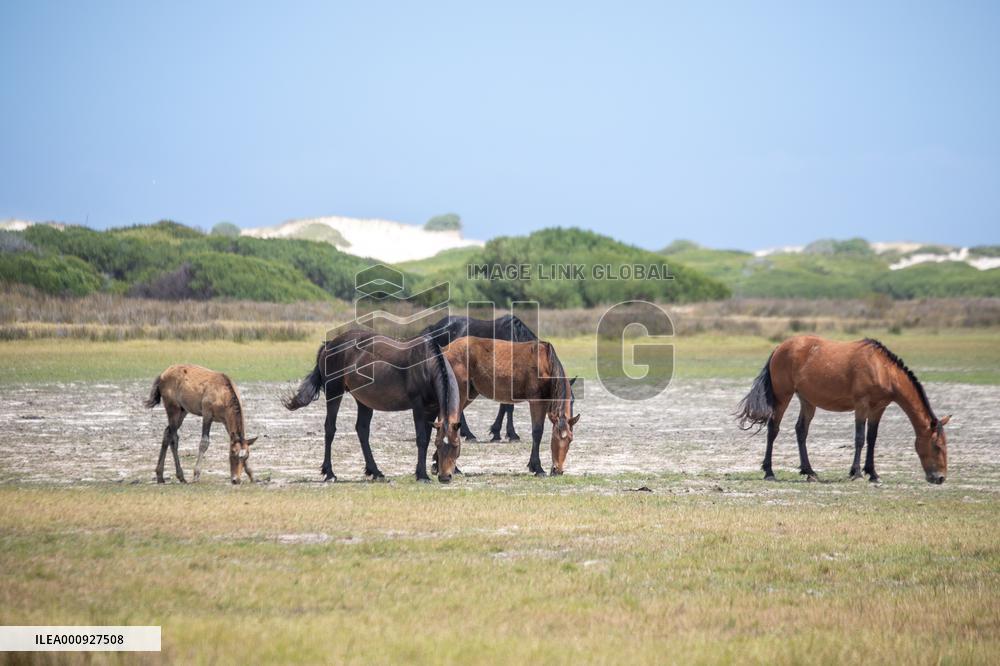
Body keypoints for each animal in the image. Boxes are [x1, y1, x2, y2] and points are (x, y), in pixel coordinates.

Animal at [282, 328, 462, 483]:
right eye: (439, 445)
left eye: (455, 445)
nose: (445, 477)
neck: (428, 364)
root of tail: (329, 344)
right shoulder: (418, 406)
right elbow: (422, 439)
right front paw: (422, 475)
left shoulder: (432, 409)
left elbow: (426, 438)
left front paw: (422, 472)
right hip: (334, 392)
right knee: (330, 428)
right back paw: (330, 473)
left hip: (363, 401)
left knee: (362, 430)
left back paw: (375, 471)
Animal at [433, 337, 579, 482]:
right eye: (555, 437)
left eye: (570, 439)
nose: (558, 470)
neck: (545, 362)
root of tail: (445, 350)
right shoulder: (536, 402)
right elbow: (537, 432)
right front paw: (538, 468)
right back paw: (453, 468)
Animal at [736, 336, 951, 484]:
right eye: (937, 446)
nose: (940, 478)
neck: (882, 368)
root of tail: (779, 348)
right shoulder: (862, 405)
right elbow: (860, 438)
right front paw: (856, 473)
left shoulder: (878, 408)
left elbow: (872, 439)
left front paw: (873, 473)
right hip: (783, 396)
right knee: (773, 429)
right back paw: (769, 472)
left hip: (807, 400)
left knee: (801, 430)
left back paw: (809, 472)